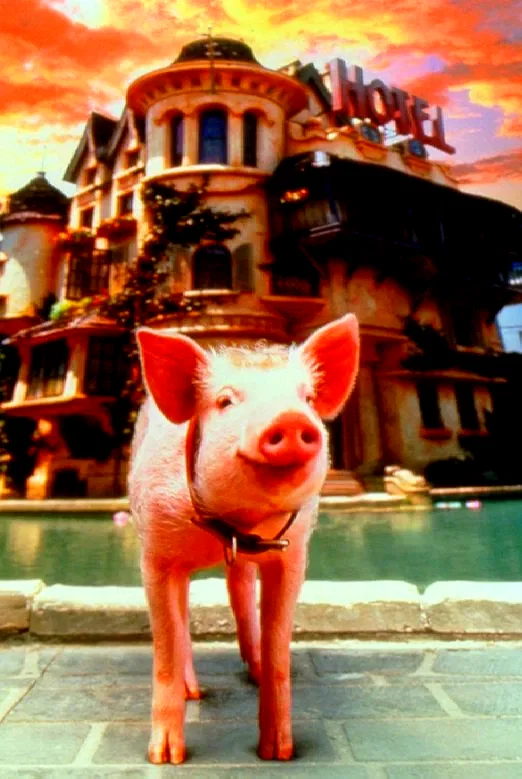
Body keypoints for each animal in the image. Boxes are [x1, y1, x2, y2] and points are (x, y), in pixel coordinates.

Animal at [129, 313, 359, 764]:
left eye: (307, 398)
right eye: (224, 401)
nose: (290, 419)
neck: (235, 526)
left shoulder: (293, 554)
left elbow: (278, 646)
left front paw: (279, 754)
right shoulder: (155, 553)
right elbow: (166, 644)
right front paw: (165, 758)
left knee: (239, 597)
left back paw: (250, 671)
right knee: (183, 618)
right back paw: (193, 693)